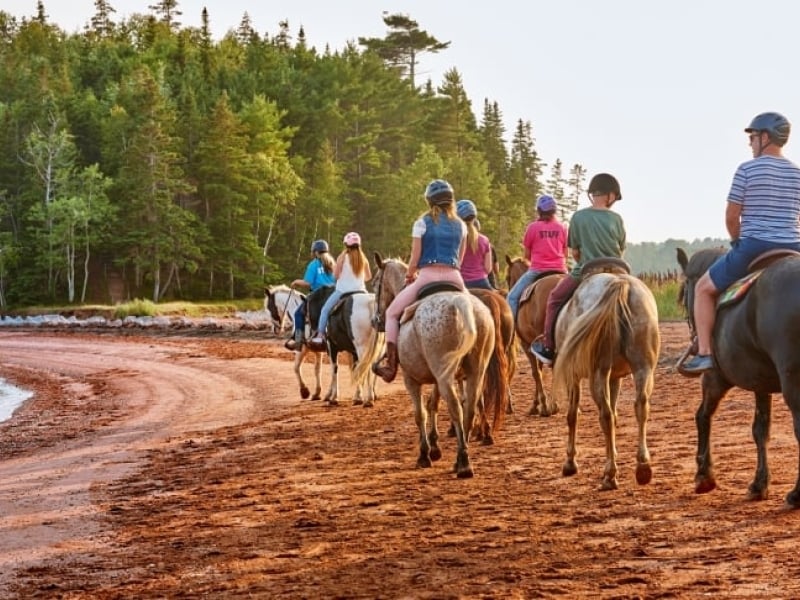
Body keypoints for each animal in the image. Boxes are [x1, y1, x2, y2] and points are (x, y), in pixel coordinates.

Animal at [368, 254, 506, 478]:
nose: (375, 320)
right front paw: (435, 447)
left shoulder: (411, 379)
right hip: (474, 372)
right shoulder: (436, 378)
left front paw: (425, 453)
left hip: (445, 375)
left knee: (457, 408)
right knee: (470, 408)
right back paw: (462, 457)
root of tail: (463, 305)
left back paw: (464, 463)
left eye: (375, 282)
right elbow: (433, 404)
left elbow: (420, 413)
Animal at [504, 254, 564, 418]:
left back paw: (553, 405)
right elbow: (540, 370)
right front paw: (538, 404)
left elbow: (536, 372)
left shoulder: (527, 345)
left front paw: (541, 405)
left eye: (507, 277)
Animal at [552, 264, 660, 492]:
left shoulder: (573, 375)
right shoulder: (615, 377)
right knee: (641, 407)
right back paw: (642, 466)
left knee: (606, 415)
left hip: (598, 373)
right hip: (643, 368)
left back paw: (610, 475)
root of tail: (620, 283)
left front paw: (570, 463)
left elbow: (572, 416)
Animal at [680, 245, 800, 506]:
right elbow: (761, 430)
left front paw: (704, 474)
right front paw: (759, 484)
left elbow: (702, 415)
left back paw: (797, 493)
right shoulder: (761, 383)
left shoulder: (715, 377)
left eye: (682, 293)